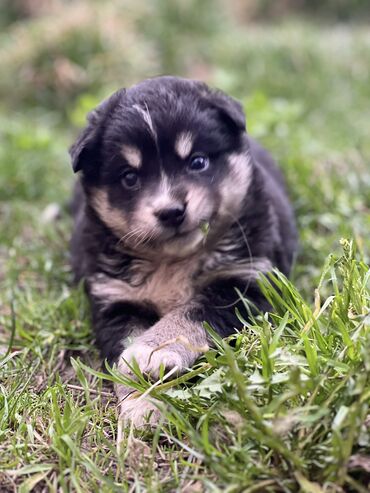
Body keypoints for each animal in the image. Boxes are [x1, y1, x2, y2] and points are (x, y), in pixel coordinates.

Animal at [68, 75, 296, 424]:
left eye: (197, 162)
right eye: (129, 177)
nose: (171, 211)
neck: (172, 260)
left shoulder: (245, 281)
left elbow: (191, 314)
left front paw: (153, 352)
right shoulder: (117, 299)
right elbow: (125, 351)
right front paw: (141, 403)